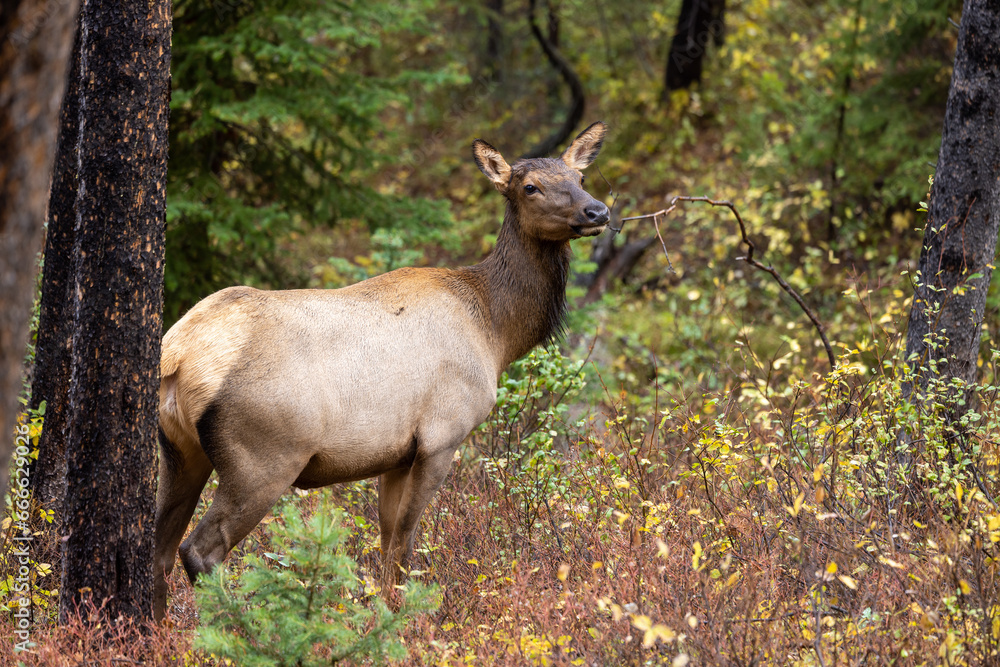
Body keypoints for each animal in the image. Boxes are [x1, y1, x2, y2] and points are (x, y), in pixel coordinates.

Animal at [154, 120, 608, 620]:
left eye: (580, 177)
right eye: (530, 187)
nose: (598, 211)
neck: (495, 331)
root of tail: (178, 353)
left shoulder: (396, 454)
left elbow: (386, 542)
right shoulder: (441, 435)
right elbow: (406, 545)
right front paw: (403, 619)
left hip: (180, 451)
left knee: (158, 549)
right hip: (262, 457)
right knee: (200, 550)